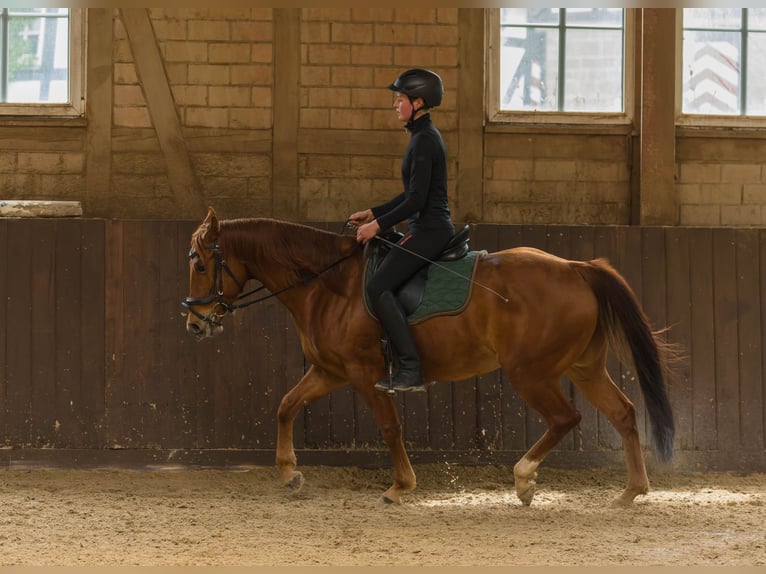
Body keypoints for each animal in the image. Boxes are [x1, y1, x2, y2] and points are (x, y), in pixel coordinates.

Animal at [183, 207, 676, 508]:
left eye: (201, 265)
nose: (194, 323)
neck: (330, 285)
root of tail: (577, 269)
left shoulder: (364, 373)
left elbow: (389, 427)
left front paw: (400, 487)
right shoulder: (329, 371)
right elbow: (286, 406)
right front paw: (289, 474)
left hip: (529, 373)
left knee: (565, 419)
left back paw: (524, 479)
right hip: (583, 367)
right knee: (623, 413)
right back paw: (630, 492)